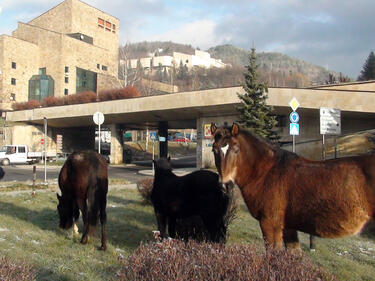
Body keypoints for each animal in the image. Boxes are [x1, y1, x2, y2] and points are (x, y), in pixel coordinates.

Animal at [212, 123, 375, 249]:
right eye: (214, 150)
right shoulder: (288, 228)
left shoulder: (270, 224)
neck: (266, 172)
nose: (226, 184)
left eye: (236, 149)